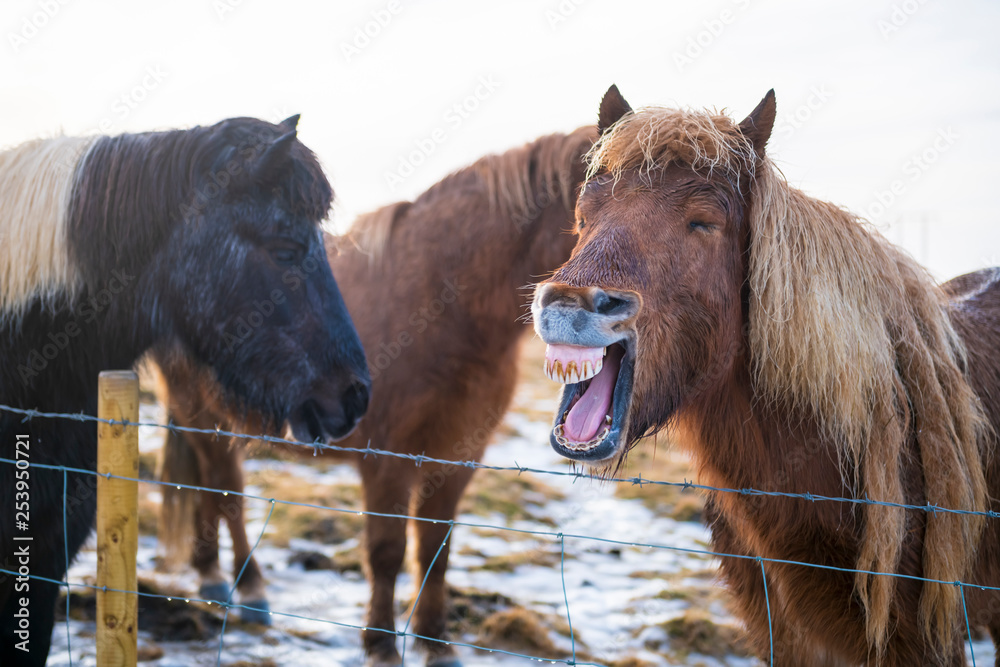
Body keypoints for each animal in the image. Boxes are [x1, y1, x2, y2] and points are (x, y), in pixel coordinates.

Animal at [153, 126, 597, 666]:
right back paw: (246, 588)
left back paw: (211, 574)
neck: (443, 307)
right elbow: (386, 553)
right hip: (200, 412)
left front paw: (436, 643)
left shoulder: (458, 457)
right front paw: (381, 644)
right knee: (225, 489)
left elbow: (435, 549)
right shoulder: (387, 459)